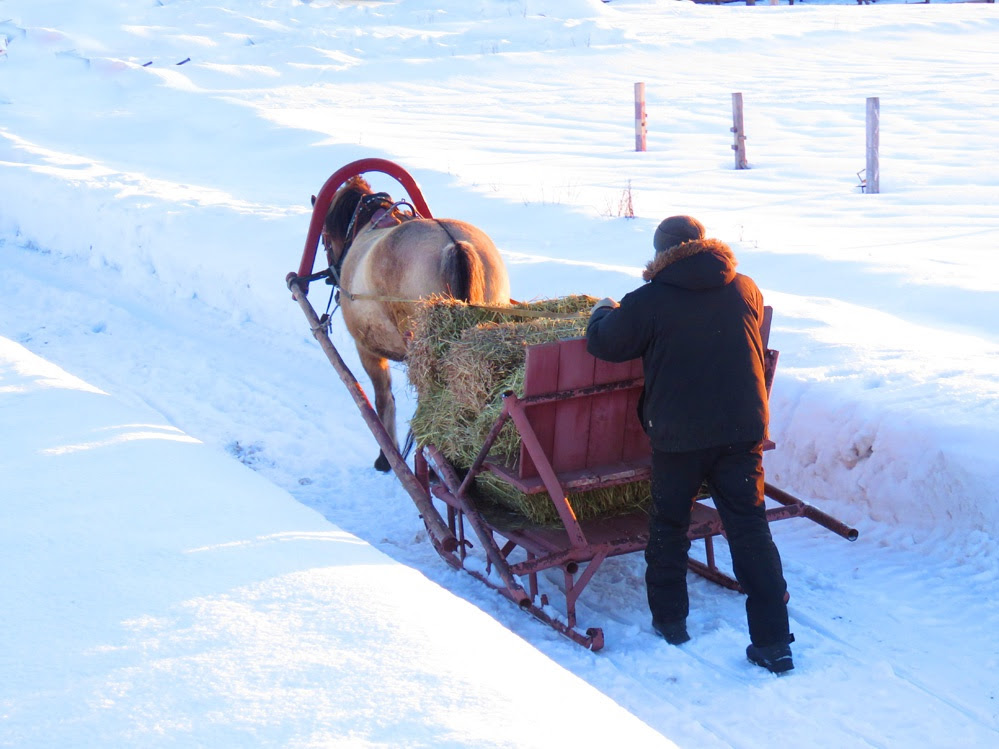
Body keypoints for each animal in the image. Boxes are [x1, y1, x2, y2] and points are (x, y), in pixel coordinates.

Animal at [316, 173, 512, 470]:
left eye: (325, 238)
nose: (330, 276)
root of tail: (455, 245)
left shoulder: (367, 350)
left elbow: (383, 399)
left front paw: (387, 457)